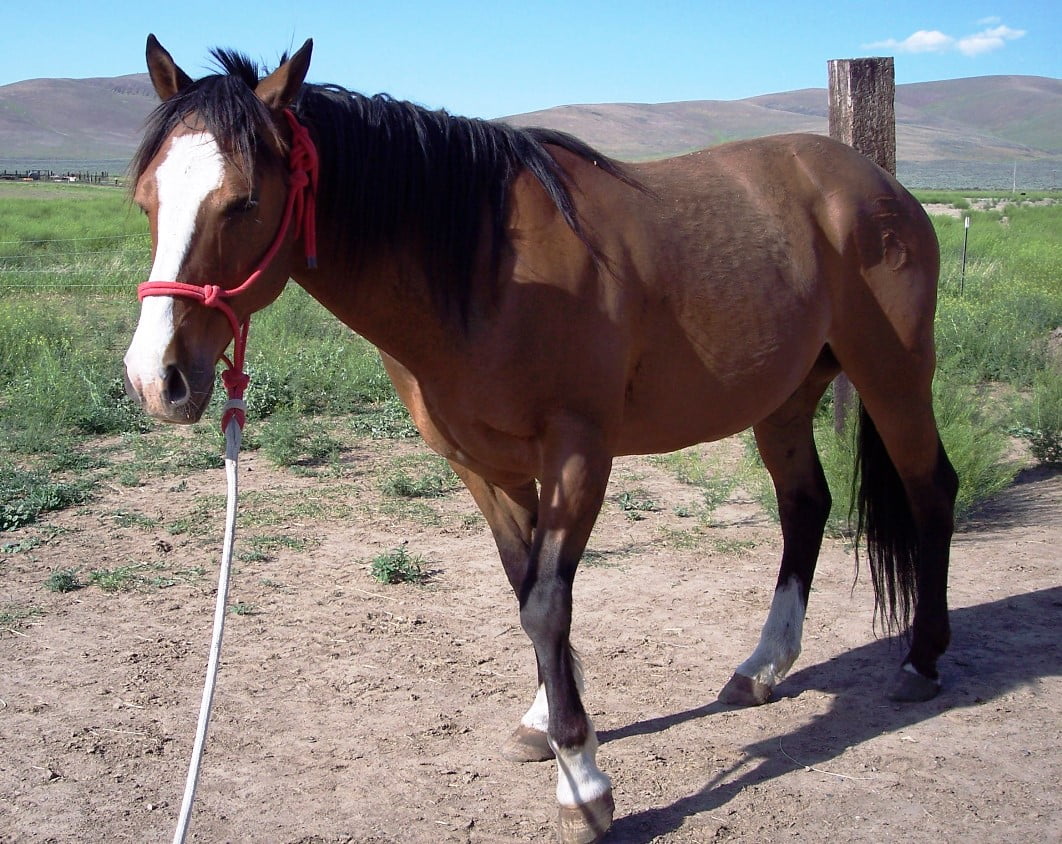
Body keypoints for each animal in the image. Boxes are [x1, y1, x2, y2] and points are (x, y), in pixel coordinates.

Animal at [122, 35, 958, 842]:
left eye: (244, 202)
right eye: (146, 201)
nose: (154, 377)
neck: (488, 270)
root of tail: (878, 185)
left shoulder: (578, 453)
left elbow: (548, 604)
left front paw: (583, 783)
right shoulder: (484, 466)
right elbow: (526, 586)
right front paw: (543, 722)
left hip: (892, 376)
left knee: (930, 490)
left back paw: (920, 662)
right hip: (783, 400)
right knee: (805, 506)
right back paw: (762, 668)